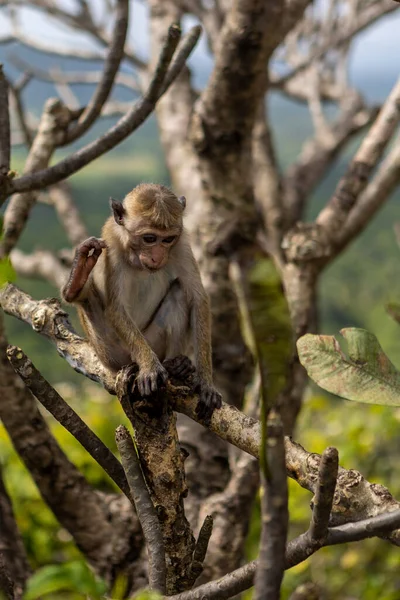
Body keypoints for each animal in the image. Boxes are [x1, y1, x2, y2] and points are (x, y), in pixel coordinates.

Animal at [61, 182, 222, 418]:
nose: (157, 256)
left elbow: (198, 299)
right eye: (149, 238)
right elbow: (116, 308)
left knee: (178, 292)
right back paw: (77, 281)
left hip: (154, 341)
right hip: (112, 353)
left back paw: (176, 365)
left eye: (167, 239)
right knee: (88, 301)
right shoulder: (111, 243)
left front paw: (206, 383)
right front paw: (150, 368)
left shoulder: (181, 243)